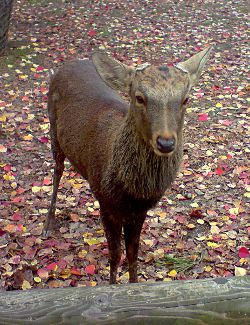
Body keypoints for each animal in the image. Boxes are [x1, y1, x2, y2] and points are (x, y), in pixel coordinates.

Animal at [43, 45, 213, 284]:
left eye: (185, 99)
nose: (166, 142)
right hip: (52, 127)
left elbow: (133, 255)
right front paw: (112, 285)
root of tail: (68, 64)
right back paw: (48, 223)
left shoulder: (139, 211)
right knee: (57, 171)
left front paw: (133, 284)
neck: (132, 192)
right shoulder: (106, 204)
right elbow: (115, 255)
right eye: (139, 97)